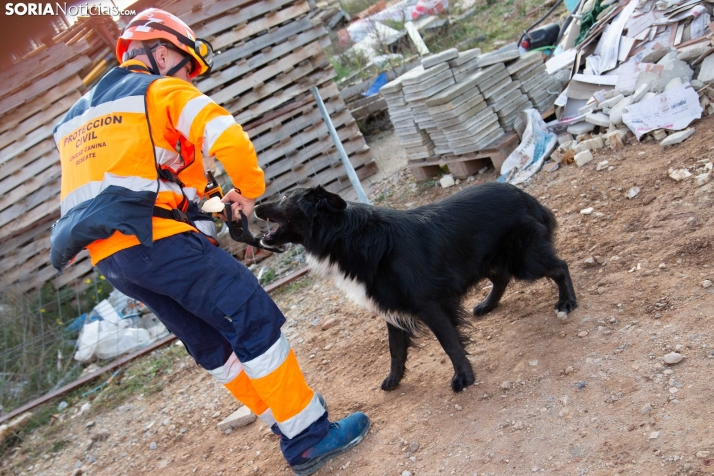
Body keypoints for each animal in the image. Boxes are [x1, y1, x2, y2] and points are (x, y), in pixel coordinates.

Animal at [253, 184, 576, 392]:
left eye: (285, 197)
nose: (254, 206)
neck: (352, 236)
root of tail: (522, 194)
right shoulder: (391, 308)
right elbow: (396, 350)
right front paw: (394, 381)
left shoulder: (428, 303)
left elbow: (450, 343)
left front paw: (464, 378)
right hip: (487, 259)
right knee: (501, 279)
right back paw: (487, 305)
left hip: (523, 258)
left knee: (560, 267)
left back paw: (567, 302)